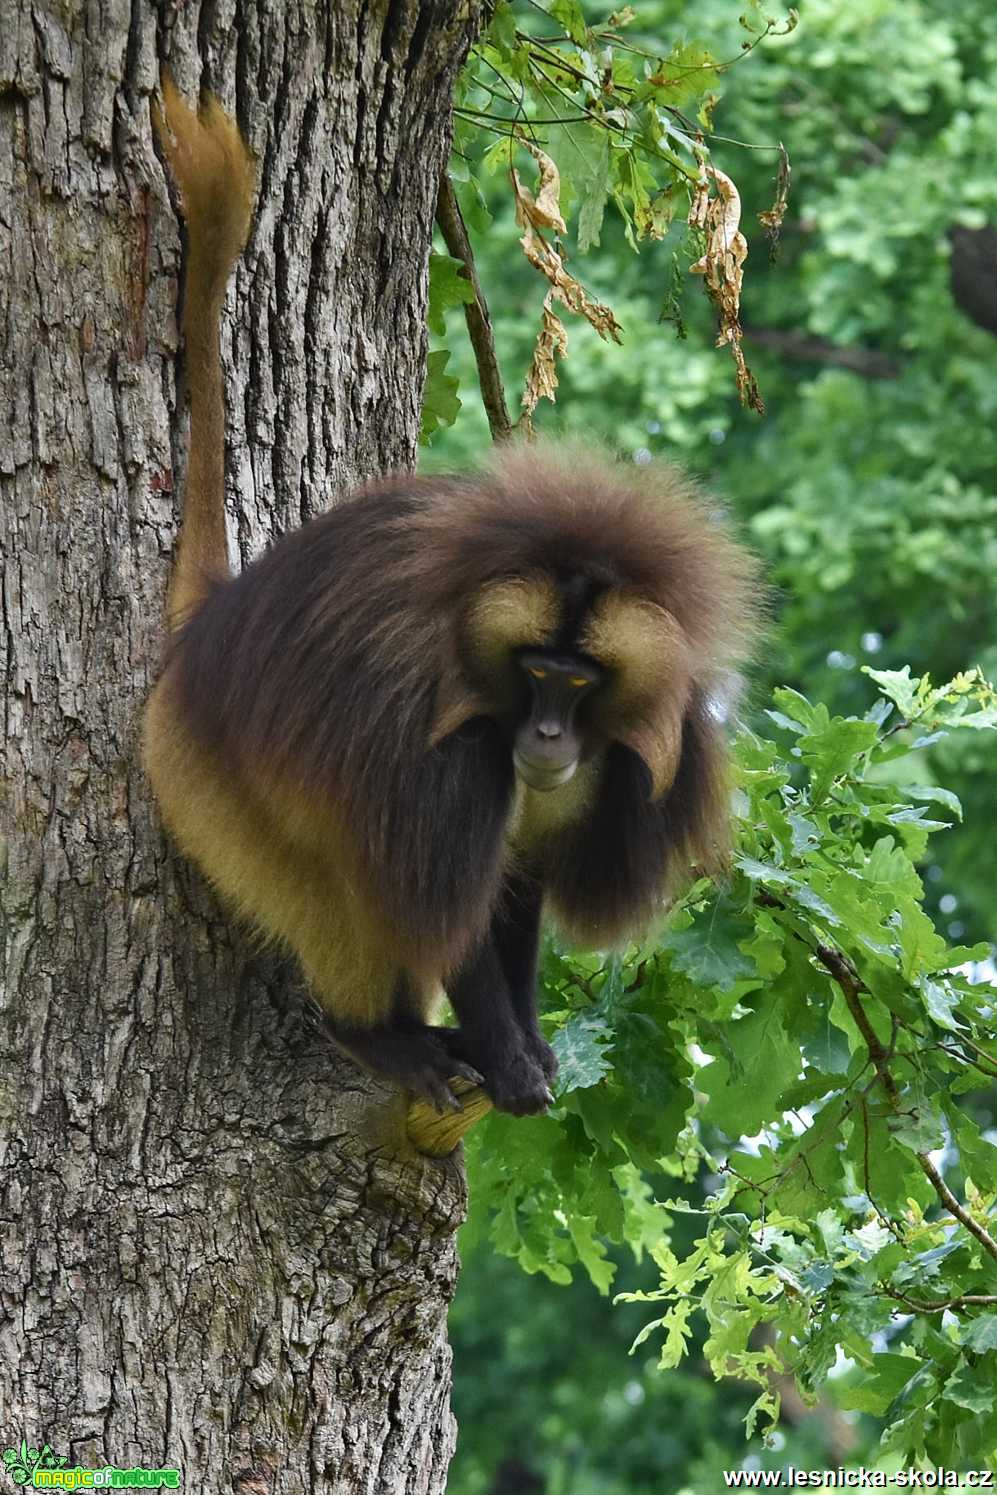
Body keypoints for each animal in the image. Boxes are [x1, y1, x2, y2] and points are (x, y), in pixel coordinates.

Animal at [144, 75, 759, 1118]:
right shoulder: (443, 753)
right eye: (537, 669)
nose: (545, 738)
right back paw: (375, 1037)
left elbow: (514, 893)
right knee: (336, 886)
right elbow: (448, 909)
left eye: (580, 681)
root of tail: (208, 633)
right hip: (198, 781)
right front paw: (508, 1064)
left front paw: (531, 1047)